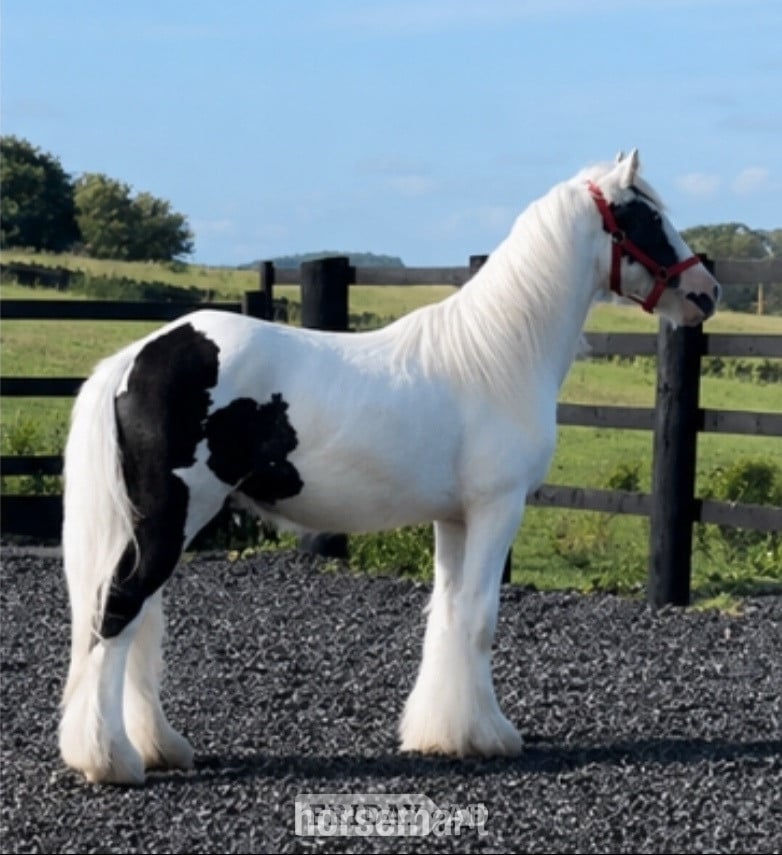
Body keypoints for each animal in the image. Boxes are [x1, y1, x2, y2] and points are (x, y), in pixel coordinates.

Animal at [59, 150, 720, 784]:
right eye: (647, 218)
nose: (706, 292)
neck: (501, 354)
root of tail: (135, 357)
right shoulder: (498, 508)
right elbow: (479, 620)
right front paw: (491, 736)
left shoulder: (455, 519)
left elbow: (448, 615)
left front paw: (444, 733)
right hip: (172, 516)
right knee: (118, 613)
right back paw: (110, 761)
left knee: (140, 623)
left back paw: (159, 748)